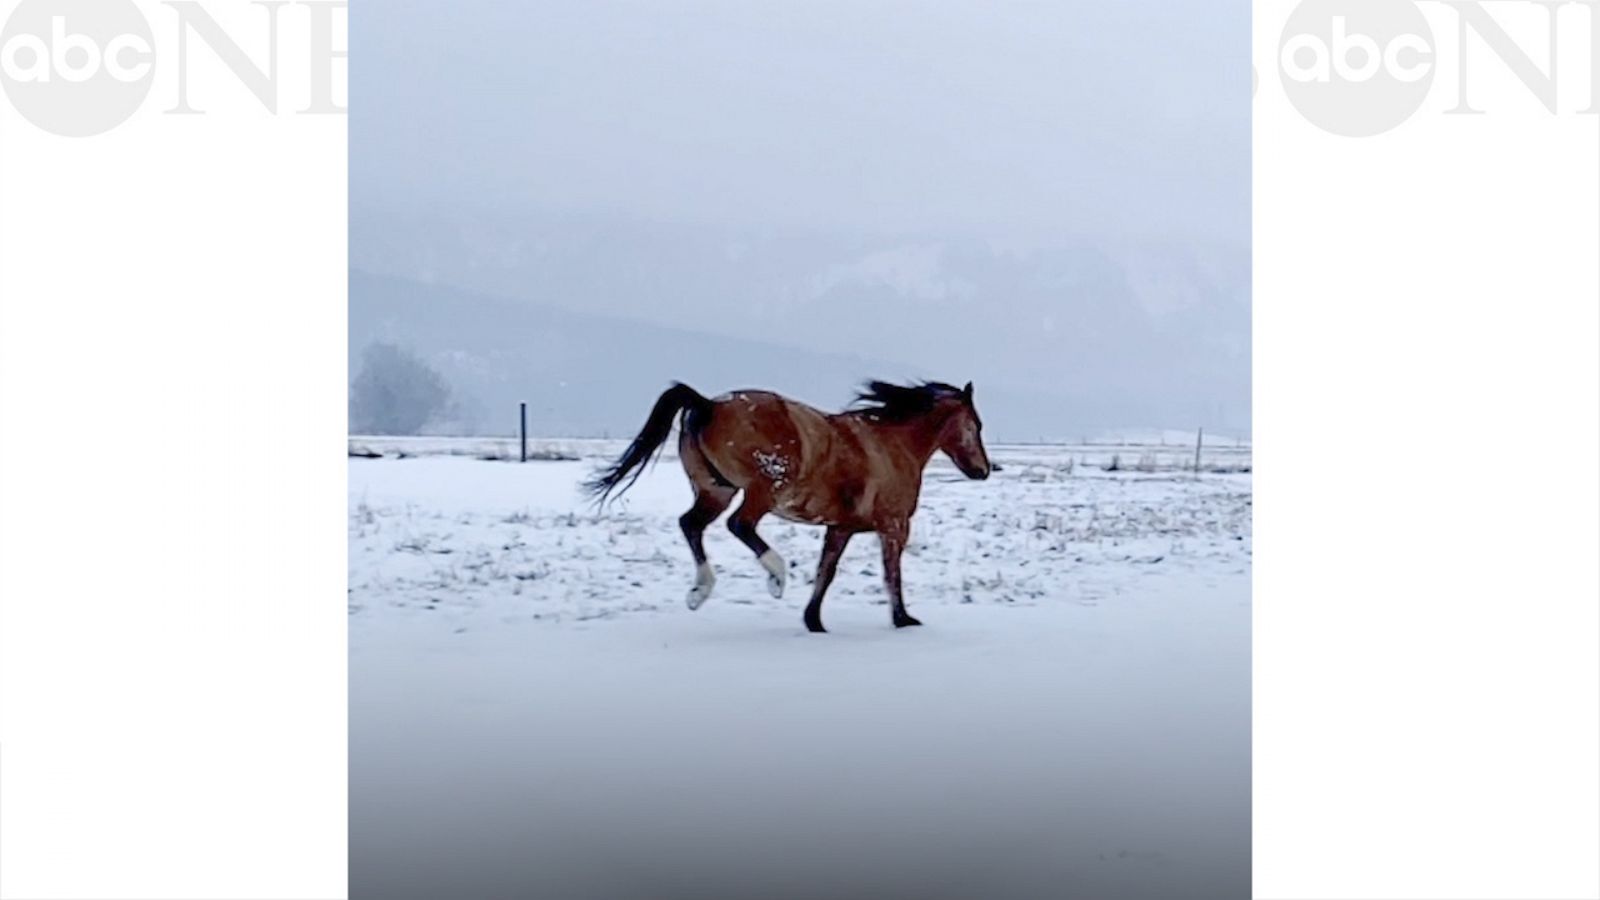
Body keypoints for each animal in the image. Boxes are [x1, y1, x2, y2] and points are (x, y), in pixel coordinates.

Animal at [582, 377, 992, 630]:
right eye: (977, 424)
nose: (984, 470)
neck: (893, 445)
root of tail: (708, 404)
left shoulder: (840, 528)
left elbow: (826, 572)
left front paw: (813, 621)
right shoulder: (893, 527)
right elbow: (892, 575)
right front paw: (903, 619)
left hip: (715, 490)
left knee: (691, 524)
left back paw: (700, 592)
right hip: (764, 490)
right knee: (739, 525)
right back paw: (776, 577)